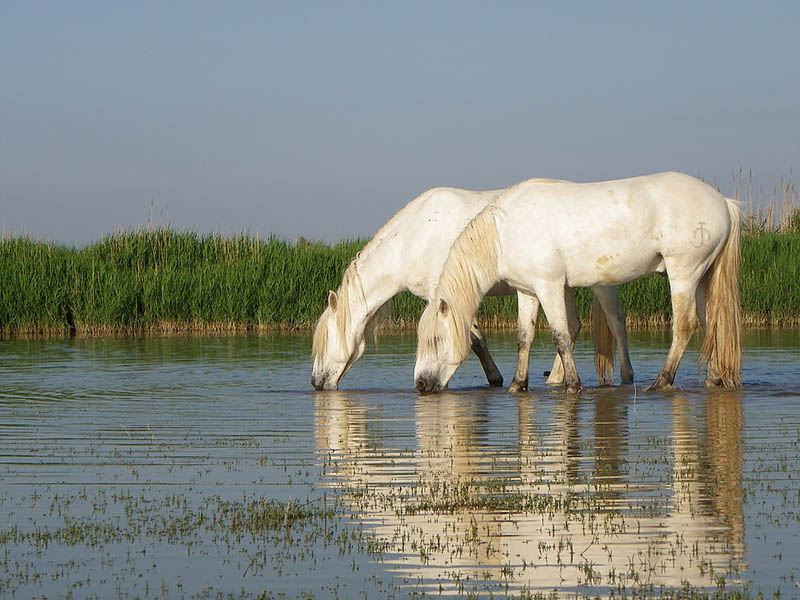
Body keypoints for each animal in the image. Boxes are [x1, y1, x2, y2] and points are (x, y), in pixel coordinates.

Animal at [312, 185, 632, 392]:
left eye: (325, 341)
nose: (316, 383)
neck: (413, 239)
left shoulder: (445, 295)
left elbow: (472, 339)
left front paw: (493, 379)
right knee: (574, 325)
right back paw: (555, 378)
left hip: (600, 284)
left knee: (615, 322)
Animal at [416, 171, 740, 394]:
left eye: (436, 340)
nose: (420, 384)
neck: (503, 233)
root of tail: (724, 202)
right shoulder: (526, 291)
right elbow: (524, 337)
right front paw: (518, 385)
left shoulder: (549, 287)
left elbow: (560, 335)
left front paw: (572, 384)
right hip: (703, 276)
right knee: (711, 322)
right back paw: (714, 378)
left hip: (684, 272)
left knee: (685, 325)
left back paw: (662, 381)